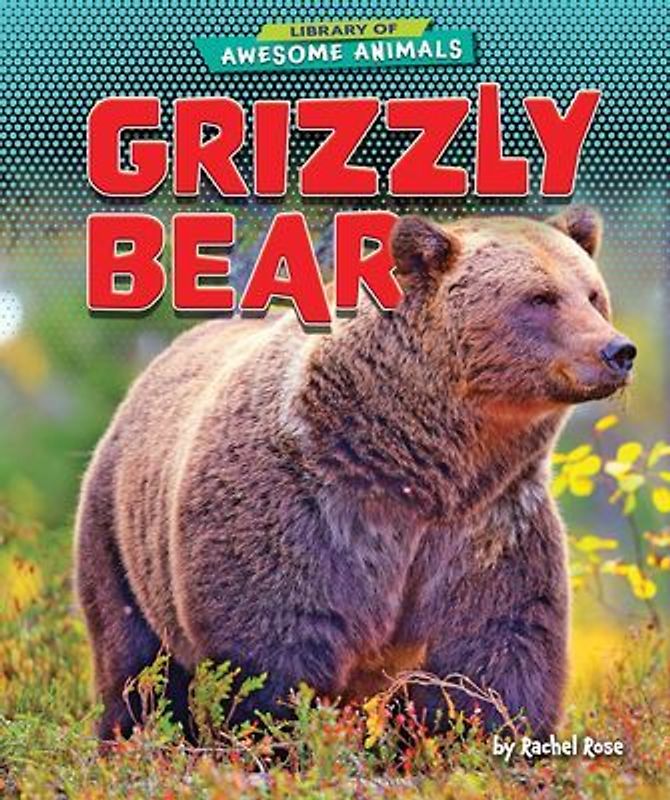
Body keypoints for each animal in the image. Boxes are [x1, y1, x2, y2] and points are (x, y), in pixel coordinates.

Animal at [75, 206, 636, 741]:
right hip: (118, 538)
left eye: (592, 294)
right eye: (540, 298)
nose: (618, 351)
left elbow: (497, 648)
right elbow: (274, 649)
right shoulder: (308, 510)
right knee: (135, 664)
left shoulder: (489, 524)